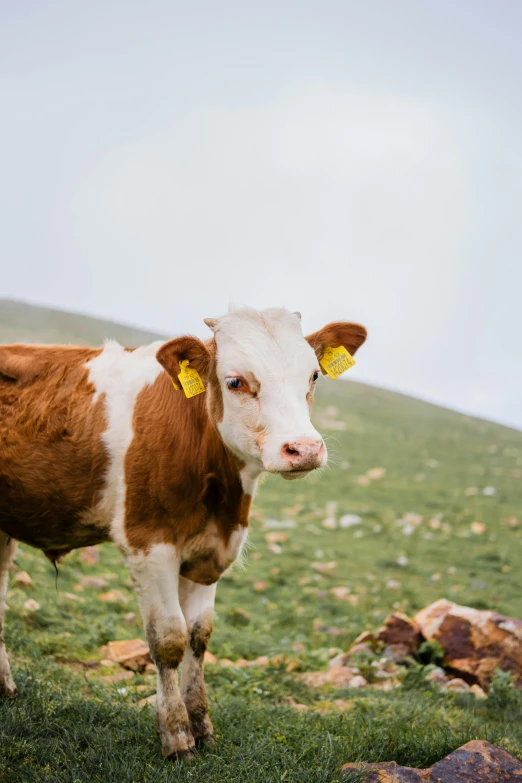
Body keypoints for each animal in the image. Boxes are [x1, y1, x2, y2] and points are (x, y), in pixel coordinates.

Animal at [0, 306, 366, 760]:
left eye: (314, 375)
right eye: (235, 381)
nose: (304, 449)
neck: (219, 494)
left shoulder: (211, 553)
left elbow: (198, 636)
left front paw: (202, 725)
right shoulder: (148, 545)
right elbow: (169, 639)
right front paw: (176, 736)